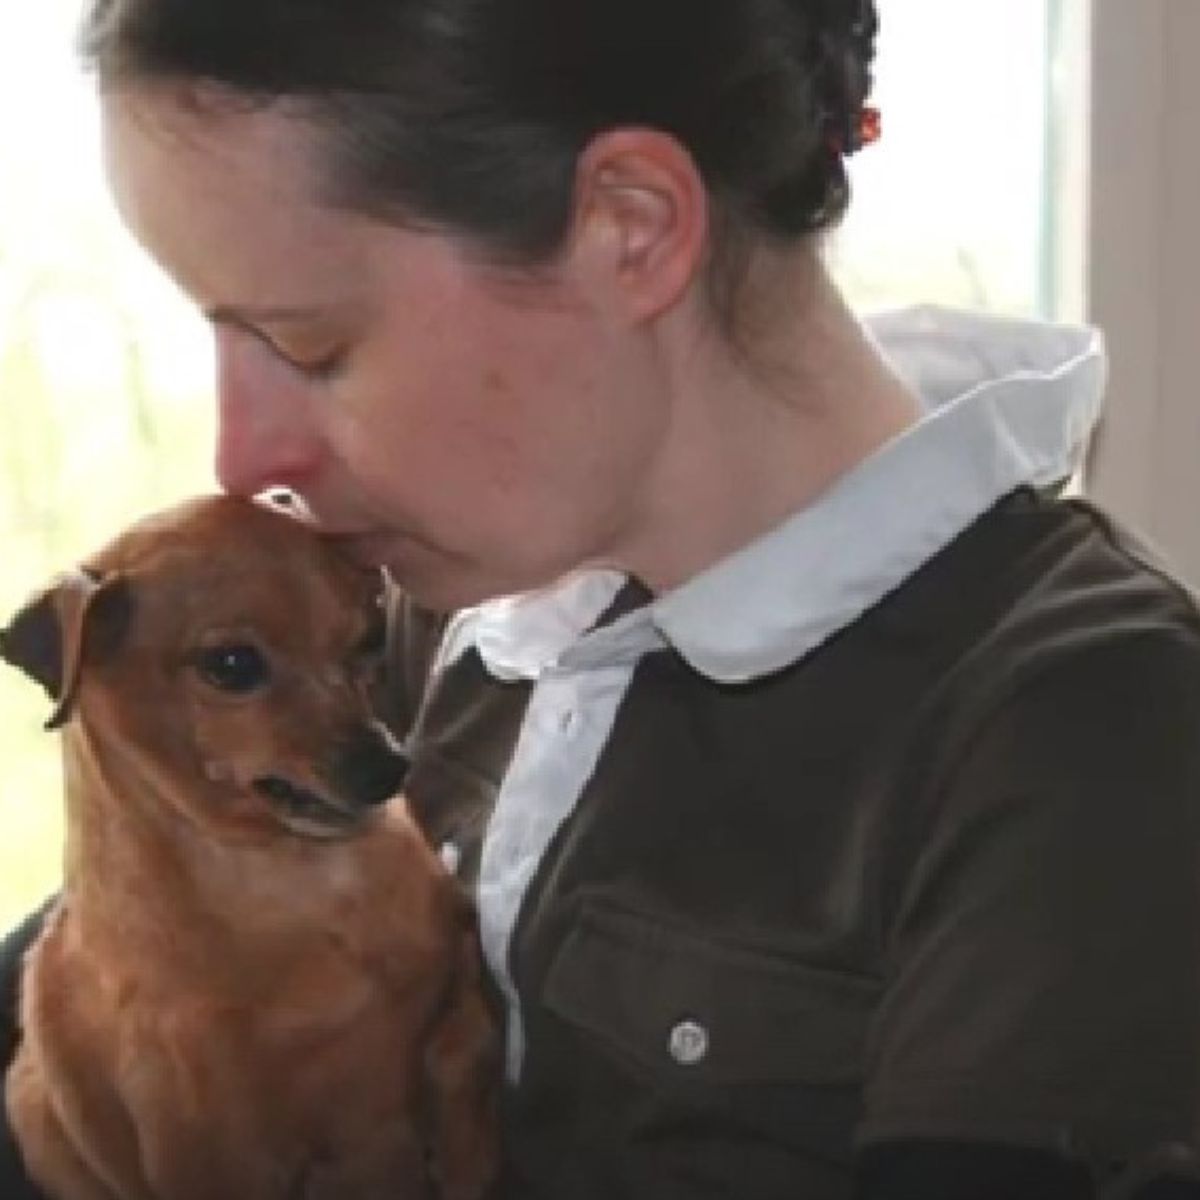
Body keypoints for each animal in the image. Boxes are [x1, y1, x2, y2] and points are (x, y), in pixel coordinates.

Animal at [0, 494, 496, 1200]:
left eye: (370, 639)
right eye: (232, 665)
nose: (388, 770)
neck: (297, 881)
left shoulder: (453, 968)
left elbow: (462, 1038)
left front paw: (462, 1142)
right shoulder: (226, 1161)